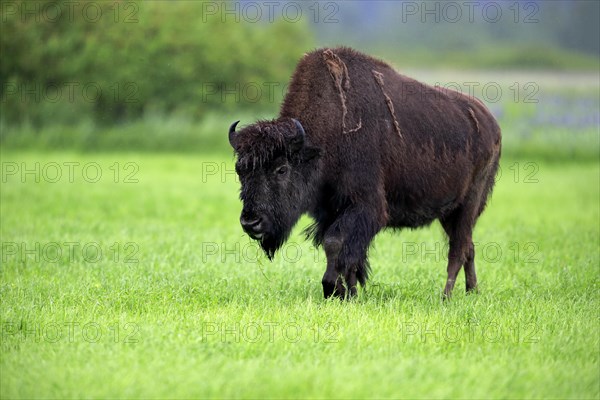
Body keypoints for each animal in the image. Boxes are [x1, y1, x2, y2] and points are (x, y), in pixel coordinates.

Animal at [230, 47, 502, 298]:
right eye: (239, 170)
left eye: (282, 169)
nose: (250, 222)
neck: (321, 142)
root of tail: (492, 124)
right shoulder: (331, 209)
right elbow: (348, 254)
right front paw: (349, 293)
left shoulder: (365, 206)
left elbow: (335, 244)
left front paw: (332, 289)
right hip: (450, 213)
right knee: (468, 247)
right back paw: (472, 291)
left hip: (467, 206)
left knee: (457, 250)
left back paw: (445, 297)